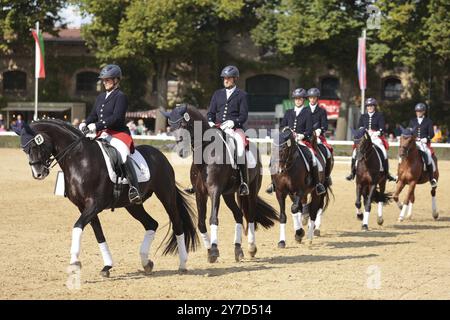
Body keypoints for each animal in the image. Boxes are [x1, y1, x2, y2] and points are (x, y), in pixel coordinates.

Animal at [14, 120, 197, 278]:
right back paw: (146, 262)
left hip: (166, 196)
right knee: (151, 224)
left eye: (36, 144)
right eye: (24, 149)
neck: (79, 159)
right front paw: (107, 266)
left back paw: (182, 264)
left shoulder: (95, 204)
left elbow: (77, 226)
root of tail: (159, 155)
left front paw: (74, 262)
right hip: (133, 205)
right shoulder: (84, 207)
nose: (38, 173)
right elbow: (98, 234)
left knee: (177, 224)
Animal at [162, 105, 278, 262]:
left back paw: (251, 248)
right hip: (228, 195)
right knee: (238, 215)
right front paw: (209, 251)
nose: (181, 152)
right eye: (171, 128)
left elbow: (213, 218)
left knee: (251, 215)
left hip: (252, 191)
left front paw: (214, 250)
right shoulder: (200, 193)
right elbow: (201, 222)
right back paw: (238, 249)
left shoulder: (214, 191)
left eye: (184, 125)